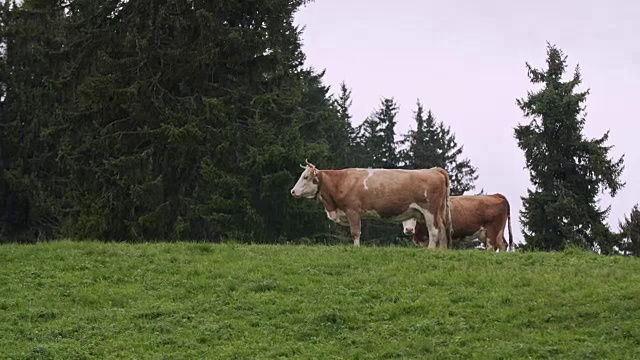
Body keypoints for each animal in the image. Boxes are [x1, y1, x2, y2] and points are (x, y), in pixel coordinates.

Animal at [288, 160, 452, 248]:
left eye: (305, 177)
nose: (292, 191)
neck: (340, 182)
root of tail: (434, 170)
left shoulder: (352, 210)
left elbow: (355, 232)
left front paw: (356, 248)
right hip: (437, 212)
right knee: (442, 230)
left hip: (430, 211)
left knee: (434, 231)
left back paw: (431, 249)